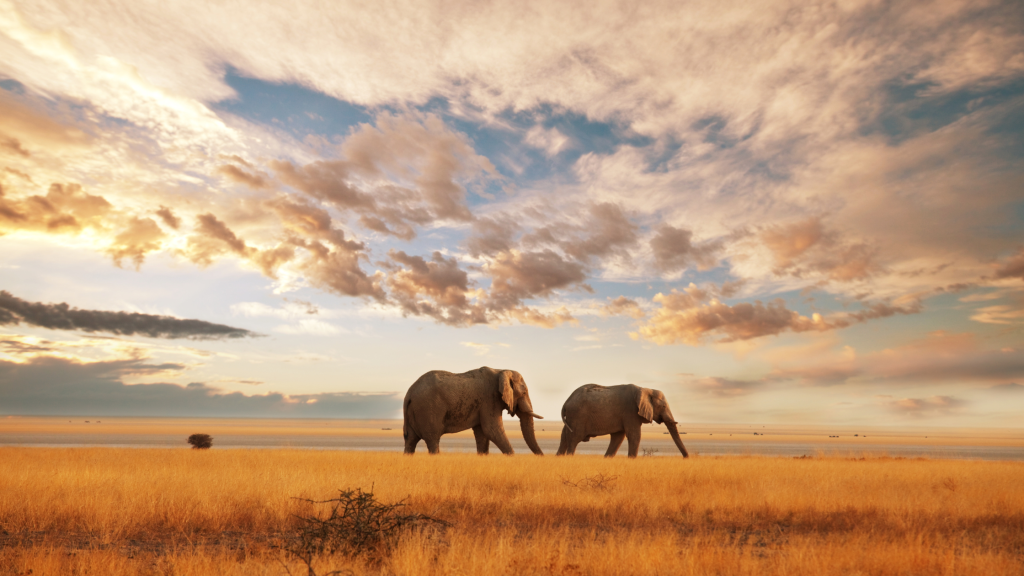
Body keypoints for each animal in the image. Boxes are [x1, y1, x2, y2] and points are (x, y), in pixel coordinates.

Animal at [401, 364, 548, 455]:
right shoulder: (490, 399)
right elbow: (492, 430)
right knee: (432, 440)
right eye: (524, 392)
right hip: (428, 410)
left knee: (410, 440)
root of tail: (409, 393)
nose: (542, 457)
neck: (502, 370)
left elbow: (482, 433)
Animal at [557, 381, 692, 457]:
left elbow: (618, 437)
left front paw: (607, 459)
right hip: (577, 416)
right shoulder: (630, 411)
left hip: (571, 417)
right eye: (663, 406)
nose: (686, 458)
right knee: (574, 439)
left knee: (564, 438)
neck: (646, 389)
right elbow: (634, 435)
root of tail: (566, 402)